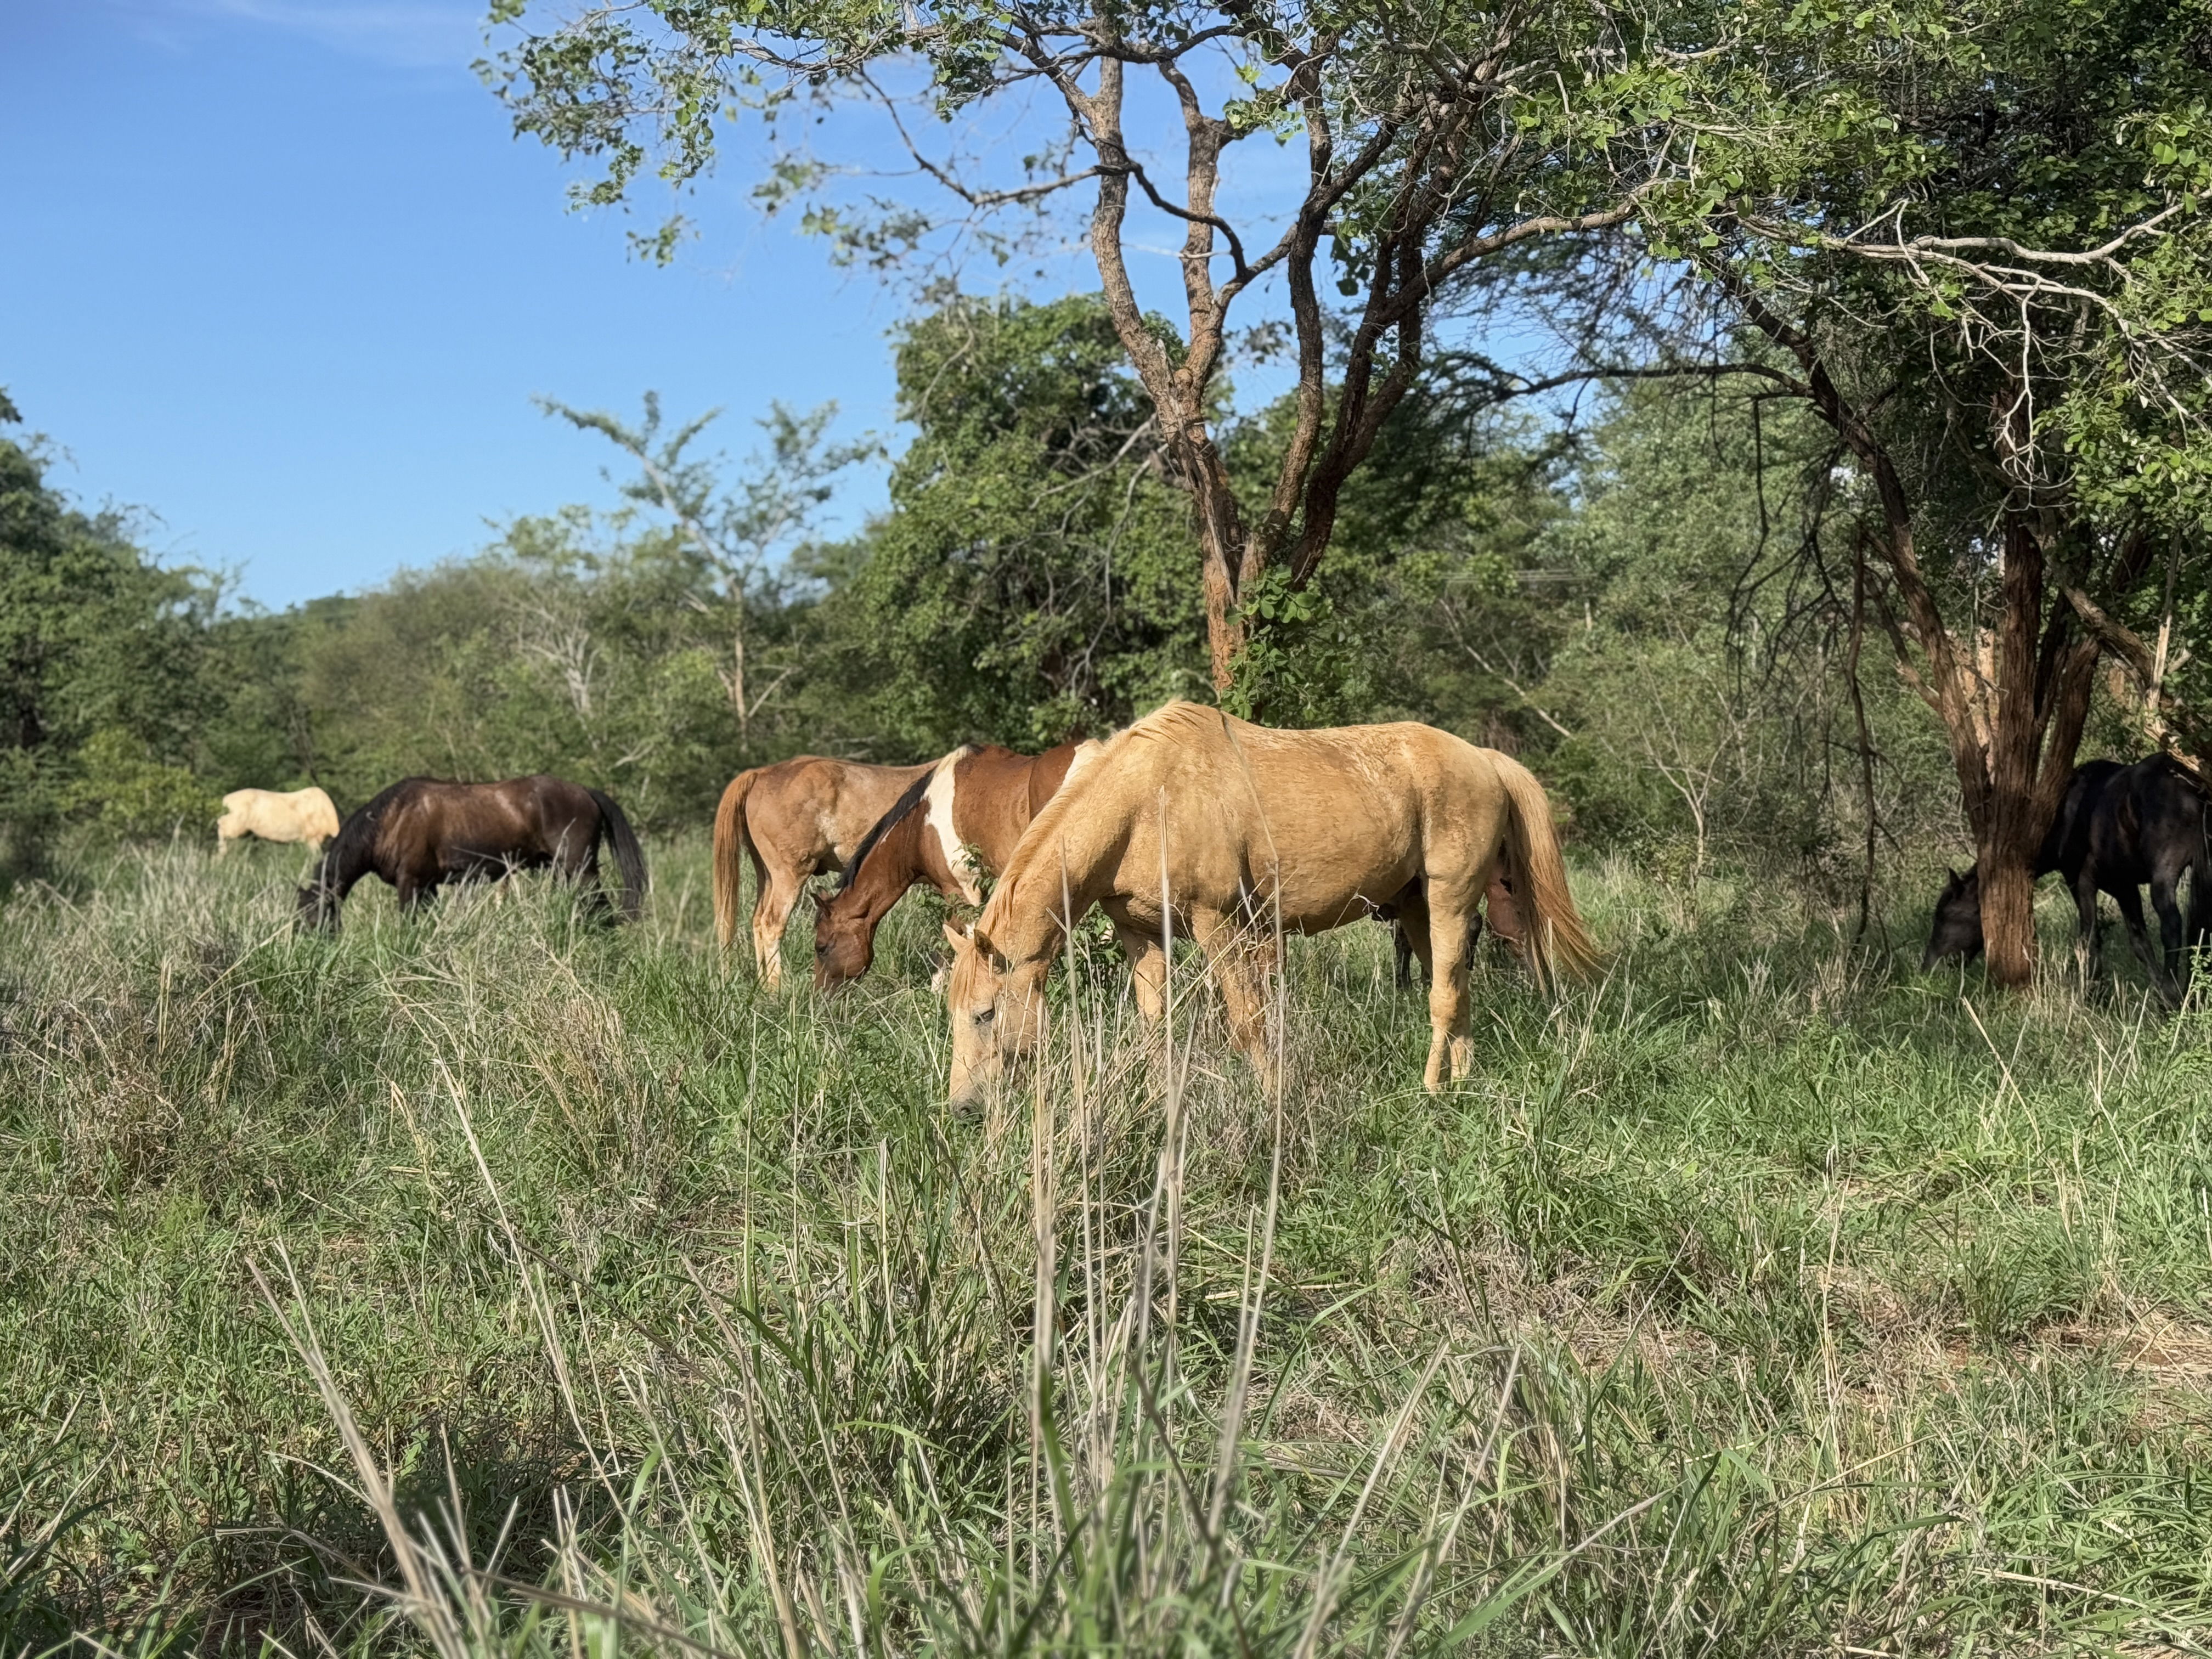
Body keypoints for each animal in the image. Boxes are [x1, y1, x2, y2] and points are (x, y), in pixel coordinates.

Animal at [297, 775, 647, 932]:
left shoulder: (410, 883)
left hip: (582, 869)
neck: (390, 820)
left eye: (309, 917)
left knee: (603, 912)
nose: (311, 951)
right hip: (565, 873)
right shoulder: (428, 887)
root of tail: (585, 792)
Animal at [711, 755, 935, 989]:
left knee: (757, 920)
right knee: (771, 923)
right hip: (789, 876)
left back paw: (763, 986)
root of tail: (760, 774)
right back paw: (776, 989)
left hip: (767, 875)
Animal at [942, 702, 1600, 1102]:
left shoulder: (1221, 926)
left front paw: (1271, 1100)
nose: (963, 1107)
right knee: (1458, 990)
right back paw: (1461, 1083)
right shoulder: (1143, 937)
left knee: (1443, 996)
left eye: (985, 1013)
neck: (1145, 801)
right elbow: (1157, 1027)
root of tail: (1483, 759)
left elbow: (1249, 1022)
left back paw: (1432, 1090)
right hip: (1416, 907)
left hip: (1449, 898)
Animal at [1923, 754, 2212, 1003]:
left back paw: (2174, 993)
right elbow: (2140, 943)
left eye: (1945, 916)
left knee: (2171, 925)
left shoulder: (2081, 881)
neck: (2065, 815)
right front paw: (2156, 995)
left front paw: (2095, 996)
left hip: (2165, 874)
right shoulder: (2124, 886)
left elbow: (2090, 939)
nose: (1929, 968)